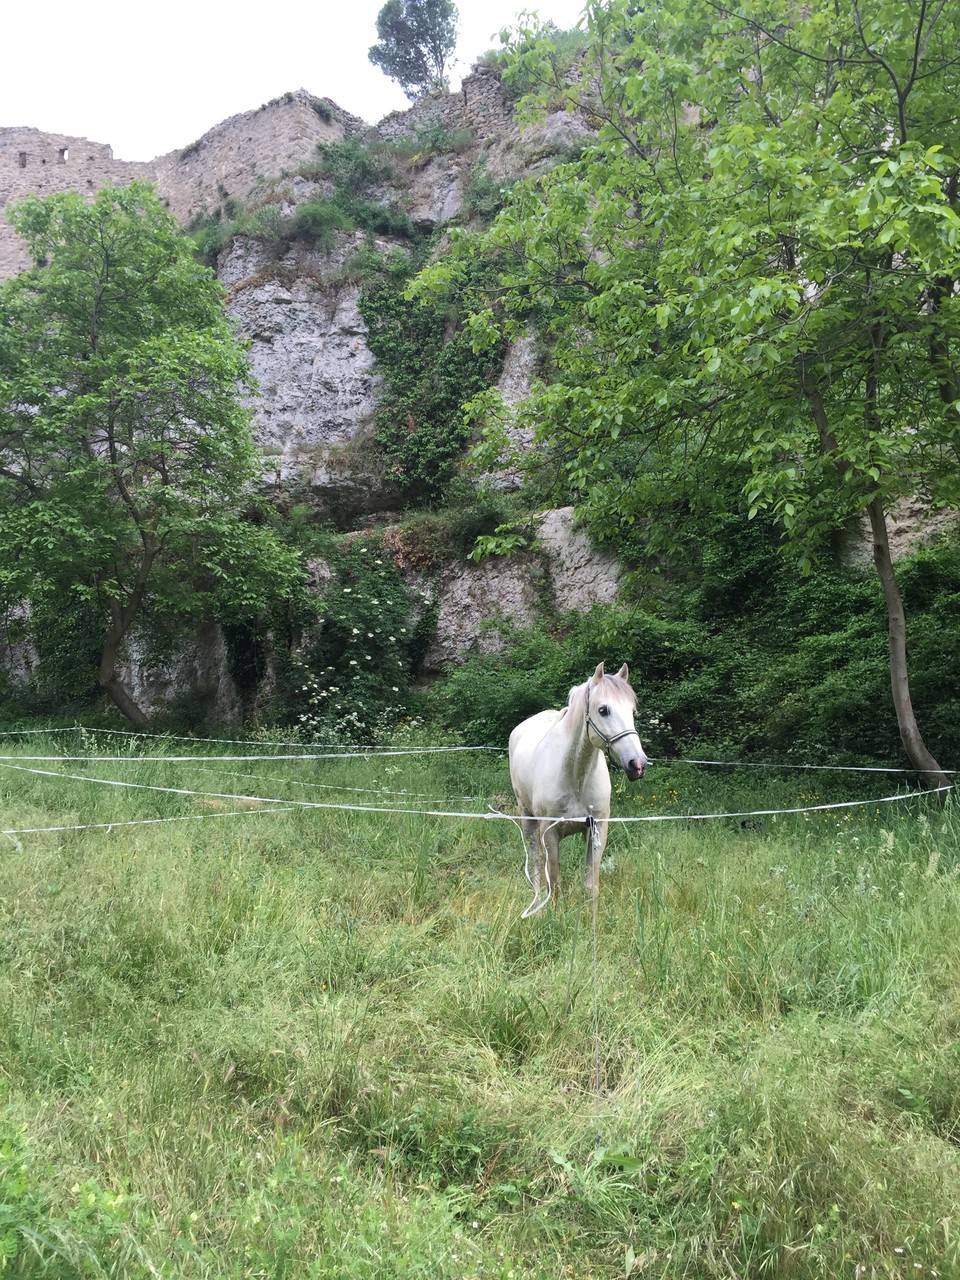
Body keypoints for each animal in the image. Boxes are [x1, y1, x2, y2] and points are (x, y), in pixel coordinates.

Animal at [506, 665, 650, 916]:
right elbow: (554, 884)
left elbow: (591, 884)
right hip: (527, 818)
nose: (637, 764)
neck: (576, 778)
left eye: (632, 711)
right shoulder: (549, 833)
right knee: (535, 860)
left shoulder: (597, 829)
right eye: (603, 710)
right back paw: (536, 903)